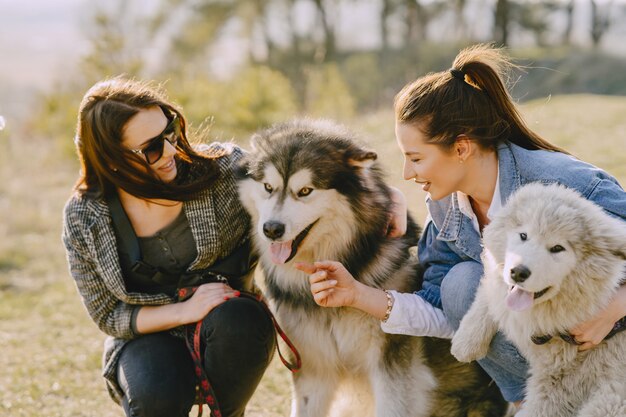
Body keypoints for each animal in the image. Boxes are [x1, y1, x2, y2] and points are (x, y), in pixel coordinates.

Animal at [448, 183, 624, 416]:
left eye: (558, 248)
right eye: (523, 235)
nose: (518, 272)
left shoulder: (560, 381)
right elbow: (494, 294)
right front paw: (466, 341)